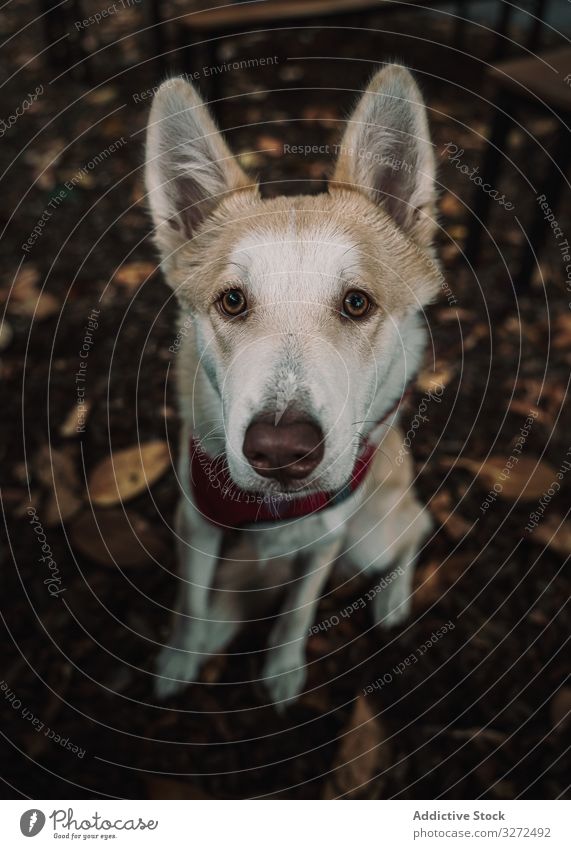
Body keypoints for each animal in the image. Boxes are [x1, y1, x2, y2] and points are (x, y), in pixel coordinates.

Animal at [145, 63, 440, 704]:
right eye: (232, 301)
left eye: (356, 303)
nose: (281, 450)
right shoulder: (196, 521)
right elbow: (189, 605)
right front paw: (180, 660)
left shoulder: (327, 537)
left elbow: (298, 611)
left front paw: (282, 673)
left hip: (373, 535)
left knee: (418, 530)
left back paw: (392, 601)